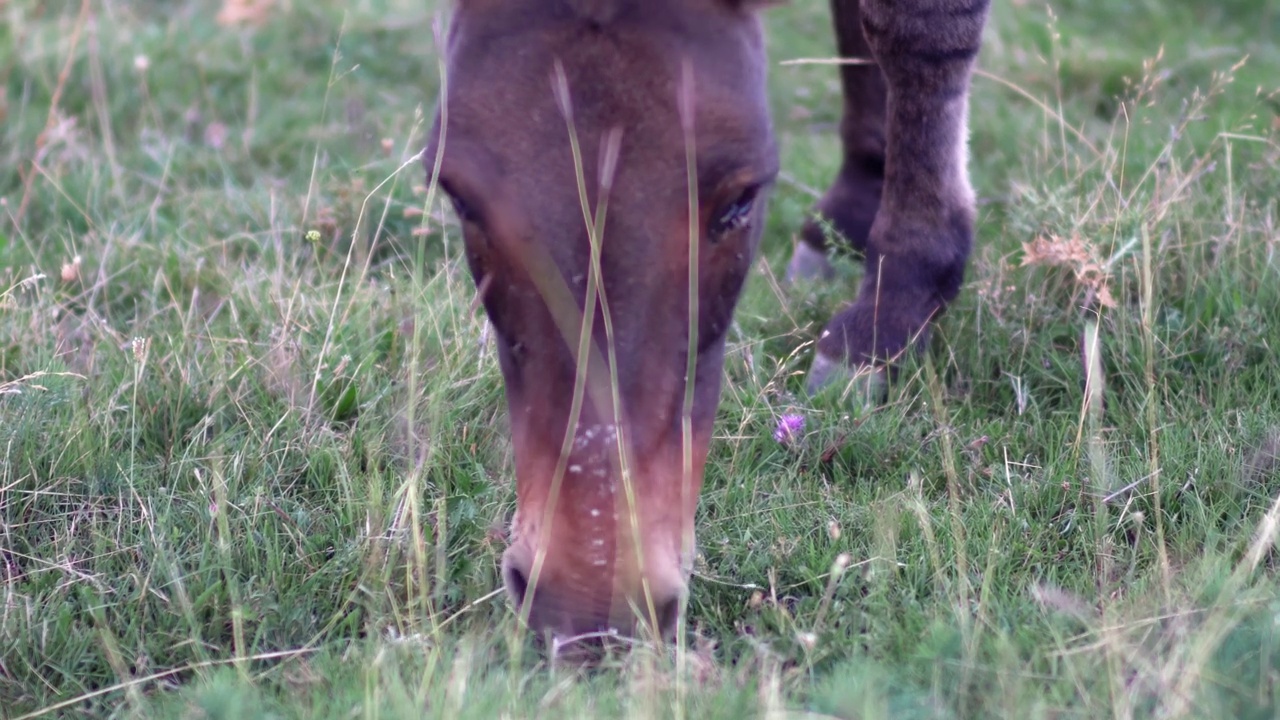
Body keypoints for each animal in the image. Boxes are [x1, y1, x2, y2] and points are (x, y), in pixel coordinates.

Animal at [424, 0, 983, 648]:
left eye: (741, 201)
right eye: (460, 198)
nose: (591, 614)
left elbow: (915, 31)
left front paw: (887, 316)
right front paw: (846, 214)